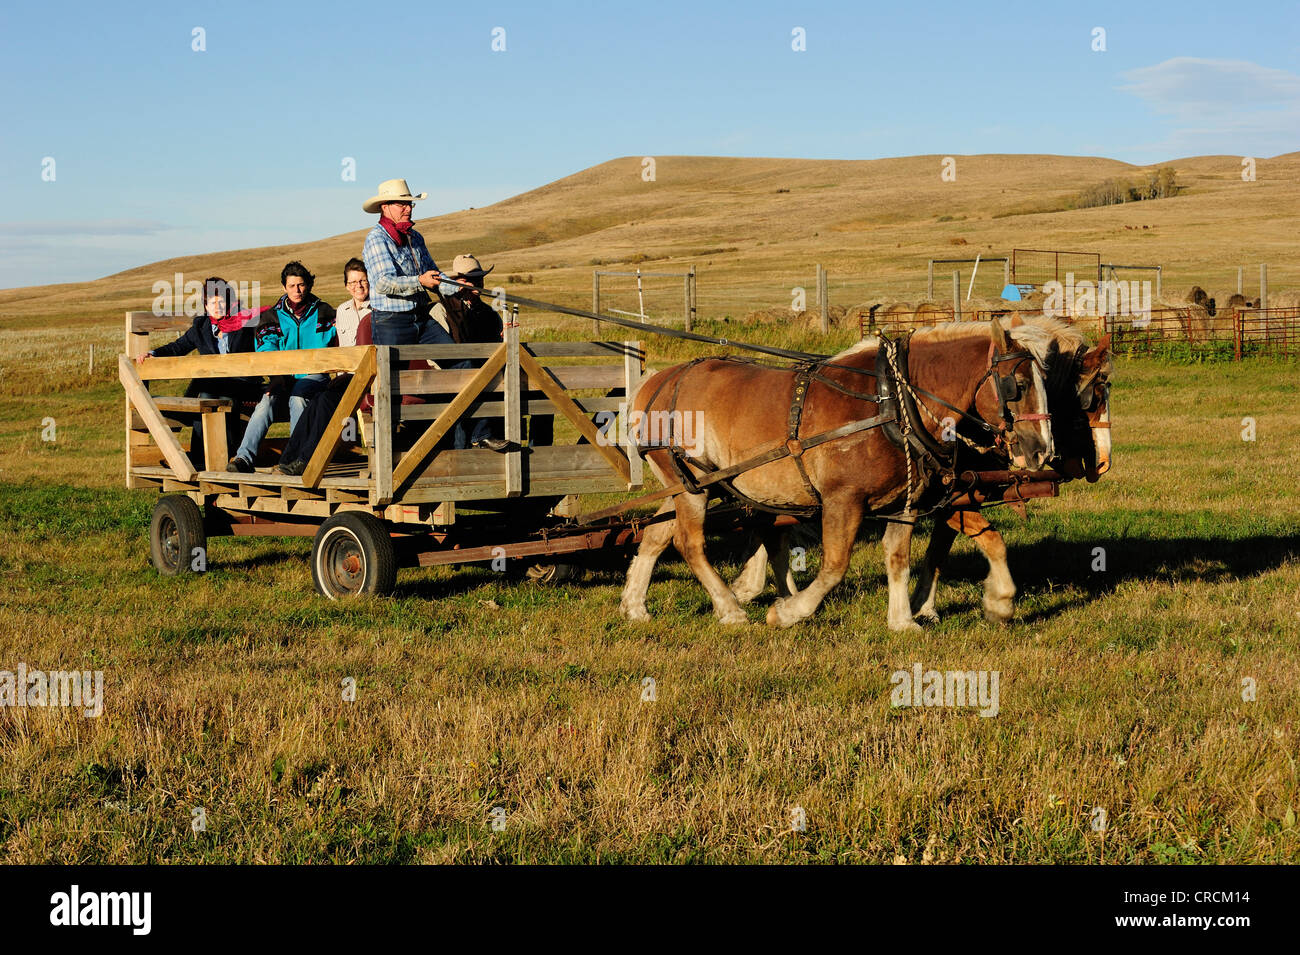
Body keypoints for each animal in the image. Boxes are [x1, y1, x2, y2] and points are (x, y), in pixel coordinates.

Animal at [619, 319, 1054, 631]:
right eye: (1016, 385)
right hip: (691, 483)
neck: (893, 402)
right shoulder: (843, 499)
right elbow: (834, 565)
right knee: (689, 543)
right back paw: (730, 609)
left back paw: (635, 605)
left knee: (656, 534)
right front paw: (788, 612)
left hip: (684, 484)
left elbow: (898, 556)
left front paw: (903, 620)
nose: (1041, 450)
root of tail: (656, 382)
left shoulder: (905, 501)